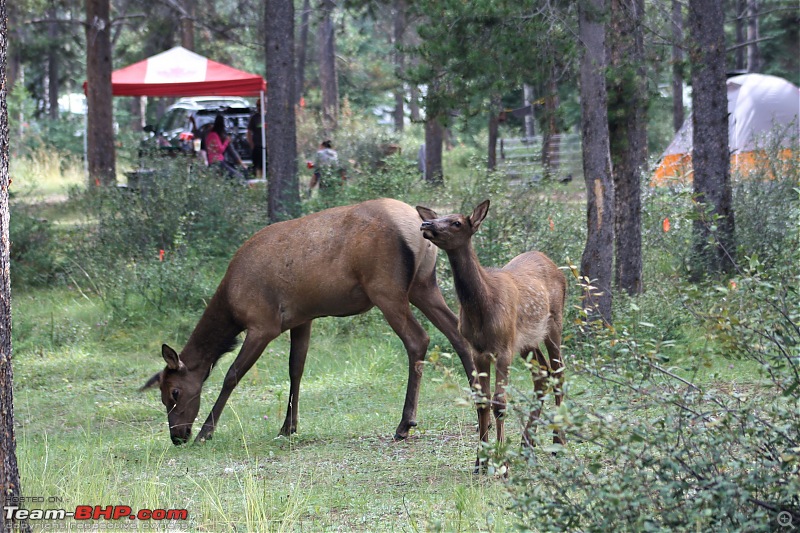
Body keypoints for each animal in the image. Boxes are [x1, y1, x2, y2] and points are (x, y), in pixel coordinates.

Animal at [141, 198, 476, 444]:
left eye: (174, 392)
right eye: (161, 394)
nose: (177, 436)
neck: (231, 307)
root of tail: (419, 230)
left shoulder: (262, 324)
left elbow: (232, 375)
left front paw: (206, 432)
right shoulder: (302, 319)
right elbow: (296, 369)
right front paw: (288, 427)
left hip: (386, 288)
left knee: (418, 339)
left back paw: (405, 423)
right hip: (423, 284)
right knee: (457, 334)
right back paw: (478, 402)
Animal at [416, 201, 564, 474]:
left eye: (457, 222)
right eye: (440, 215)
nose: (426, 223)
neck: (482, 307)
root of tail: (550, 262)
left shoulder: (503, 349)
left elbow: (500, 403)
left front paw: (501, 463)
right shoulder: (479, 351)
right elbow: (482, 402)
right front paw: (480, 462)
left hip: (554, 324)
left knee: (558, 373)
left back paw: (558, 442)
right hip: (527, 341)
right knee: (542, 374)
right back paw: (527, 445)